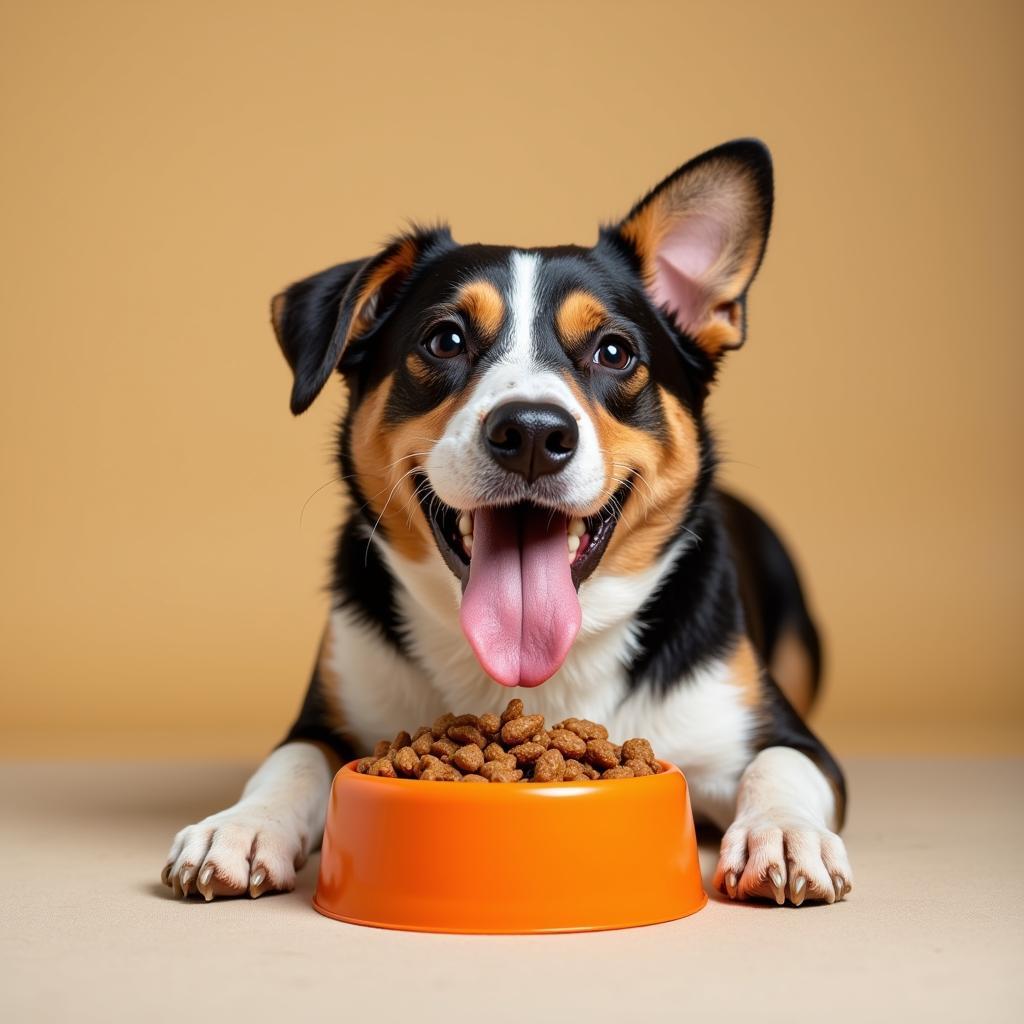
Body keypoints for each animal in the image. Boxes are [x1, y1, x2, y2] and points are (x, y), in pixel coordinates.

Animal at [161, 138, 847, 905]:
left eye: (615, 352)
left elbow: (781, 766)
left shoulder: (782, 736)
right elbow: (293, 762)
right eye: (445, 340)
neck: (534, 676)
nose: (532, 433)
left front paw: (782, 834)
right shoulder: (328, 714)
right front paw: (241, 825)